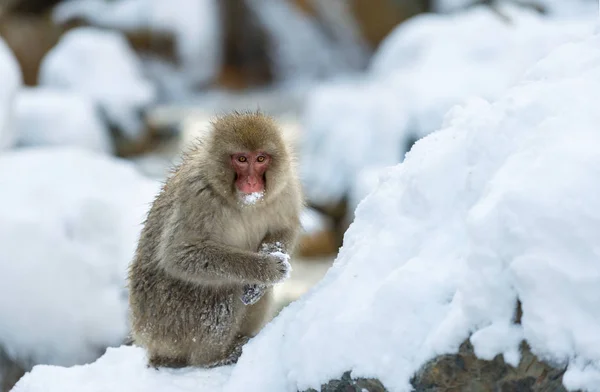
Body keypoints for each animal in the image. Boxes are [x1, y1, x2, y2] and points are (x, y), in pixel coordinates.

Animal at [128, 112, 302, 370]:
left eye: (261, 158)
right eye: (241, 159)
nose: (252, 182)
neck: (242, 202)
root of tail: (147, 338)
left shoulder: (286, 188)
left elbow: (285, 228)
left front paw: (264, 275)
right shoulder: (197, 197)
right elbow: (179, 255)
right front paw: (265, 269)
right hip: (170, 320)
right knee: (225, 291)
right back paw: (215, 358)